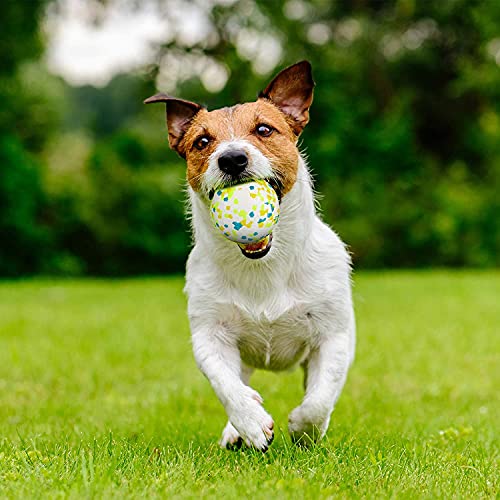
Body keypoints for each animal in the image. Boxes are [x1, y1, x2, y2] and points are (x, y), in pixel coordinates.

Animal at [145, 60, 356, 452]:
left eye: (264, 129)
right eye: (202, 141)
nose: (231, 158)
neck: (263, 266)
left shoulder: (334, 335)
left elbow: (320, 398)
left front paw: (304, 428)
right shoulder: (210, 334)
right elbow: (225, 385)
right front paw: (250, 422)